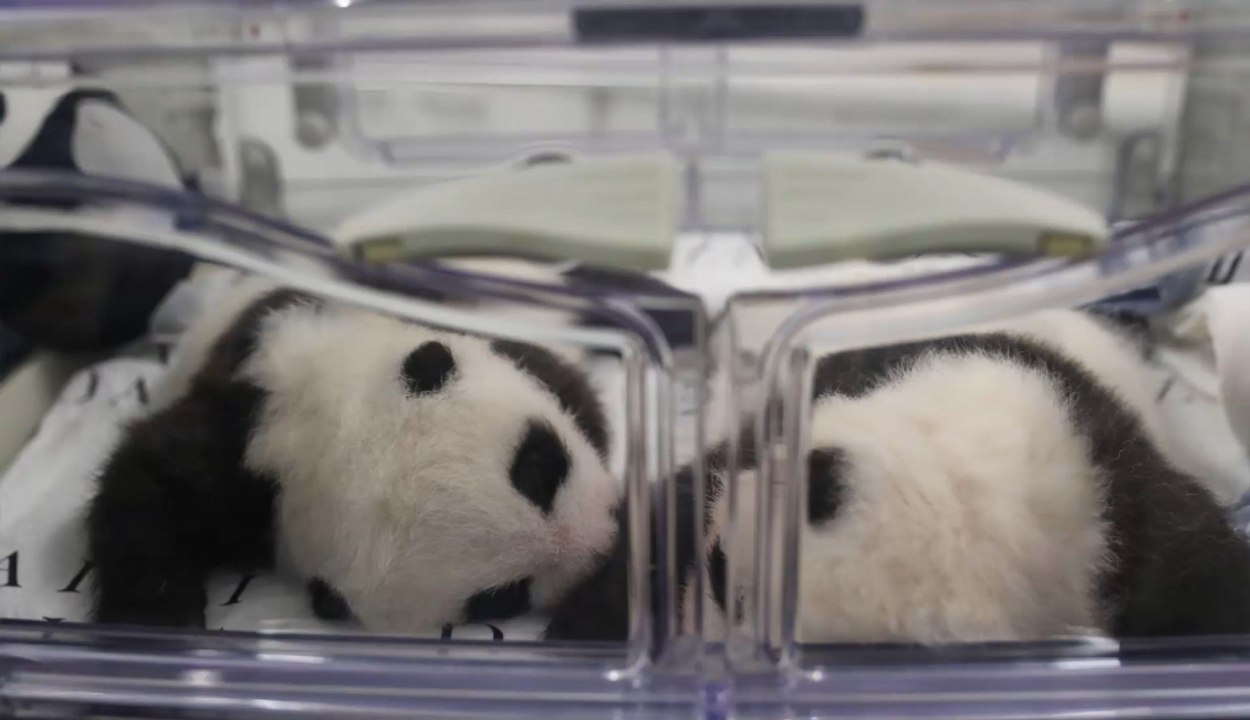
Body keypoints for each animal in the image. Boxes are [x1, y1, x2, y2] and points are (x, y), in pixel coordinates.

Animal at [87, 275, 623, 632]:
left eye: (539, 469)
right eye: (501, 599)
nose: (601, 547)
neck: (316, 390)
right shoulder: (239, 449)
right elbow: (148, 480)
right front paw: (153, 619)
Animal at [546, 308, 1250, 643]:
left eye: (732, 594)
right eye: (719, 569)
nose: (696, 622)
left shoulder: (1124, 509)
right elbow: (686, 494)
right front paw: (592, 619)